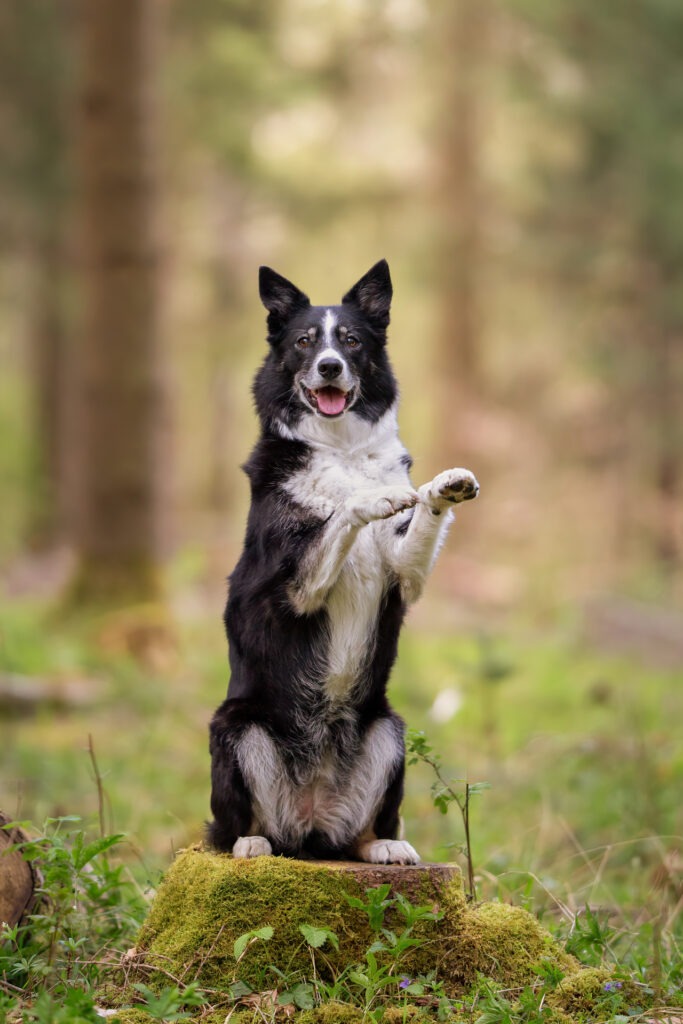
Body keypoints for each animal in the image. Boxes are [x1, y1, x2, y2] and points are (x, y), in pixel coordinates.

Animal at [208, 260, 481, 860]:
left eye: (352, 341)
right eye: (305, 341)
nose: (330, 366)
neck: (341, 448)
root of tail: (309, 826)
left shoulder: (404, 572)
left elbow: (421, 516)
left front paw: (441, 486)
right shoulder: (295, 586)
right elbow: (341, 513)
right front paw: (370, 498)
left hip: (389, 729)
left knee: (367, 827)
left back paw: (382, 846)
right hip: (237, 727)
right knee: (229, 827)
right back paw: (250, 843)